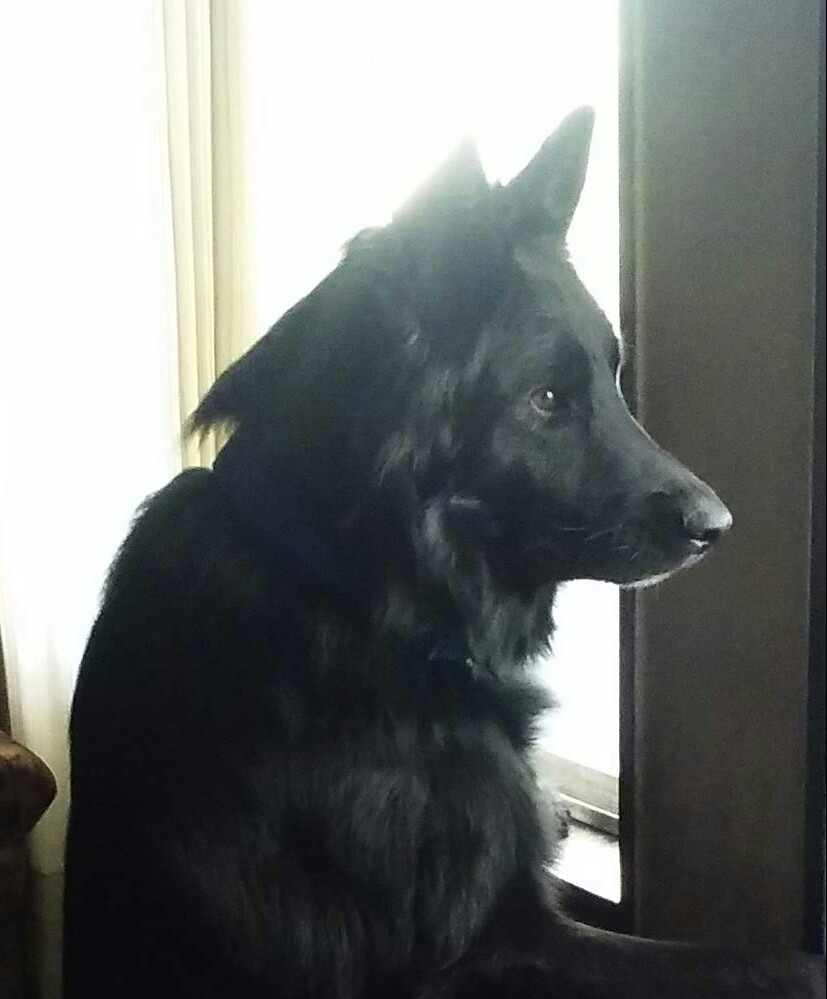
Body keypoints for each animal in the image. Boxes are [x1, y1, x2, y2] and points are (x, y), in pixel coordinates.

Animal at [63, 108, 821, 997]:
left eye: (610, 378)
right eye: (546, 398)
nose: (717, 525)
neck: (357, 595)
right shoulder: (487, 948)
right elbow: (776, 963)